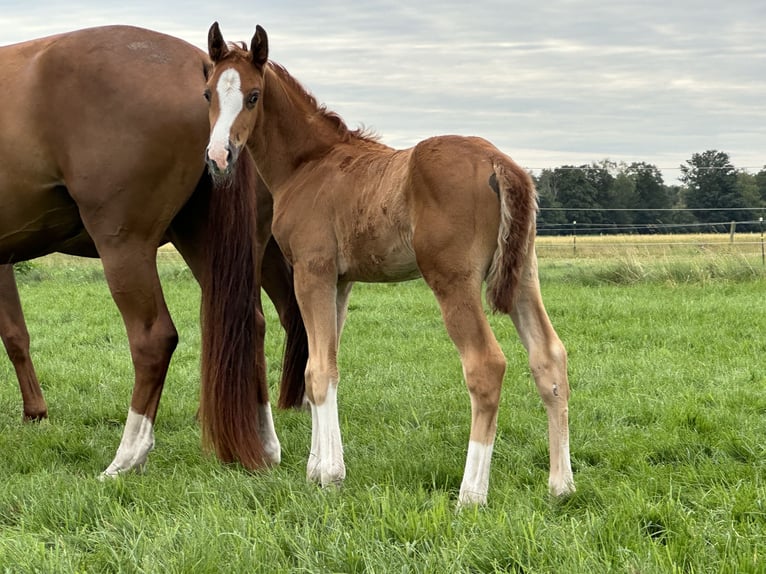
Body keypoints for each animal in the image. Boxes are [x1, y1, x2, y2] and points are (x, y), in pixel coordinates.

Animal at [0, 25, 306, 476]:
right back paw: (265, 444)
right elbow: (16, 334)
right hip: (205, 241)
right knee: (251, 322)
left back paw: (127, 457)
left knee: (154, 339)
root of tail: (197, 59)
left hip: (126, 246)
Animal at [204, 24, 576, 506]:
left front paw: (330, 475)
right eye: (209, 92)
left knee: (486, 365)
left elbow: (318, 371)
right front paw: (315, 468)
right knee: (549, 358)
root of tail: (499, 161)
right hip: (523, 277)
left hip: (453, 281)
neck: (308, 166)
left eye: (252, 96)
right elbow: (323, 364)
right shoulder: (340, 282)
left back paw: (470, 494)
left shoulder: (312, 272)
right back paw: (561, 485)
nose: (219, 157)